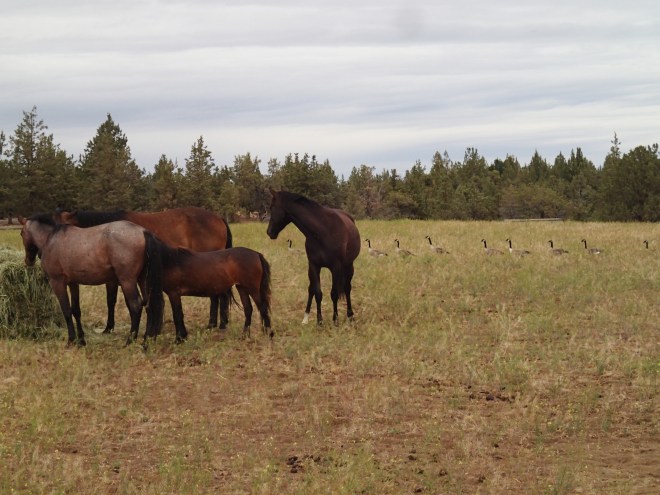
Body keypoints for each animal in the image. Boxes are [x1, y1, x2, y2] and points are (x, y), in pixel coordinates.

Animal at [19, 214, 164, 346]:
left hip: (127, 281)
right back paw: (146, 341)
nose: (29, 261)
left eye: (21, 233)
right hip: (142, 280)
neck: (51, 239)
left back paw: (129, 341)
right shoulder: (73, 283)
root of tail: (143, 232)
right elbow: (76, 310)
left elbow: (66, 311)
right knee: (149, 306)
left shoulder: (57, 283)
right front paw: (81, 340)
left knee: (136, 306)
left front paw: (71, 340)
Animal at [53, 207, 232, 333]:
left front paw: (109, 328)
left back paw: (216, 323)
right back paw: (216, 323)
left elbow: (113, 301)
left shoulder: (117, 279)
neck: (103, 234)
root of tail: (218, 218)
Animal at [266, 188, 360, 325]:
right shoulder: (314, 265)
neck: (323, 231)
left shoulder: (335, 267)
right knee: (311, 289)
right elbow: (317, 293)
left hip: (349, 266)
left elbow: (334, 294)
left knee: (347, 288)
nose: (269, 232)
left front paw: (335, 320)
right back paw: (305, 318)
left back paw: (350, 315)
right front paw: (319, 321)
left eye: (272, 207)